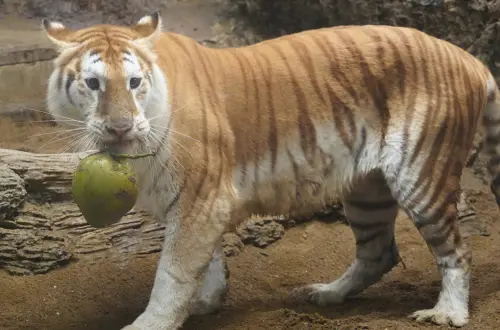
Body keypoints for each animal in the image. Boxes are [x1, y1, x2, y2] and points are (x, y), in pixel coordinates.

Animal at [42, 11, 500, 330]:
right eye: (94, 84)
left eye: (135, 82)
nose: (120, 127)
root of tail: (468, 57)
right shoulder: (201, 203)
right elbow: (206, 261)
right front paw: (206, 301)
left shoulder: (200, 199)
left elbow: (173, 271)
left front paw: (152, 322)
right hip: (367, 190)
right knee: (378, 252)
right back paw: (326, 294)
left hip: (421, 174)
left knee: (456, 252)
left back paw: (447, 314)